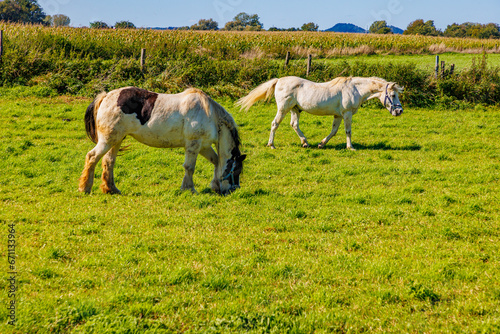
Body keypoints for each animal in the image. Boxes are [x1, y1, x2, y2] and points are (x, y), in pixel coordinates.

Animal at [77, 87, 246, 196]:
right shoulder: (194, 144)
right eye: (237, 170)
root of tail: (106, 96)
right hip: (108, 140)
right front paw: (189, 189)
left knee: (108, 161)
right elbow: (189, 167)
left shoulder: (204, 146)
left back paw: (111, 189)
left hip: (116, 140)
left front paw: (215, 184)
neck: (209, 114)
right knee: (92, 157)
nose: (234, 190)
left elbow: (217, 161)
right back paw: (85, 188)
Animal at [236, 76, 404, 149]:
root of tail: (279, 81)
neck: (355, 89)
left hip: (295, 109)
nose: (399, 111)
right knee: (275, 124)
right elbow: (348, 131)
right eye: (393, 95)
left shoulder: (338, 115)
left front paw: (321, 144)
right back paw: (271, 145)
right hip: (283, 108)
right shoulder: (347, 114)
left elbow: (334, 131)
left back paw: (305, 143)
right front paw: (350, 147)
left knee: (294, 125)